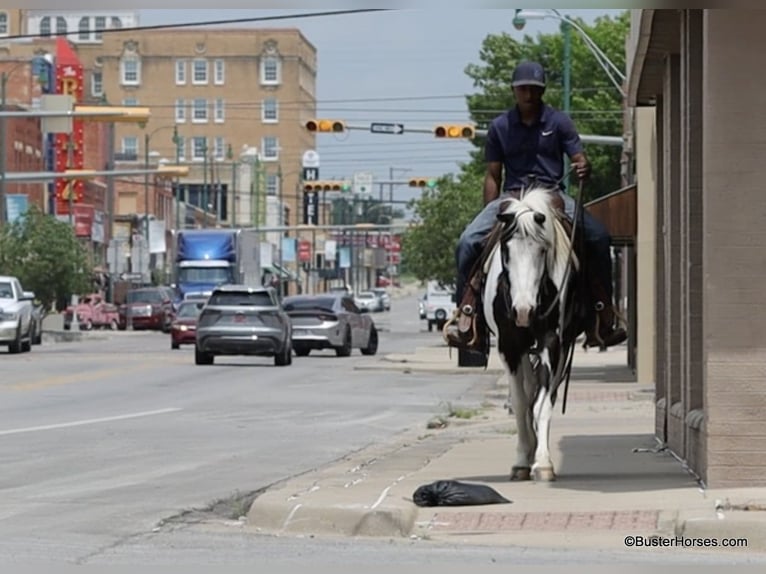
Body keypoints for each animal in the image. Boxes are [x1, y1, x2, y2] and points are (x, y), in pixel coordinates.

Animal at [482, 185, 587, 482]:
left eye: (542, 249)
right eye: (506, 250)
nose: (523, 311)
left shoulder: (552, 343)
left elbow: (542, 403)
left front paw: (542, 462)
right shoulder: (508, 347)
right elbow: (520, 404)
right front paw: (521, 460)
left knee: (545, 395)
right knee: (527, 394)